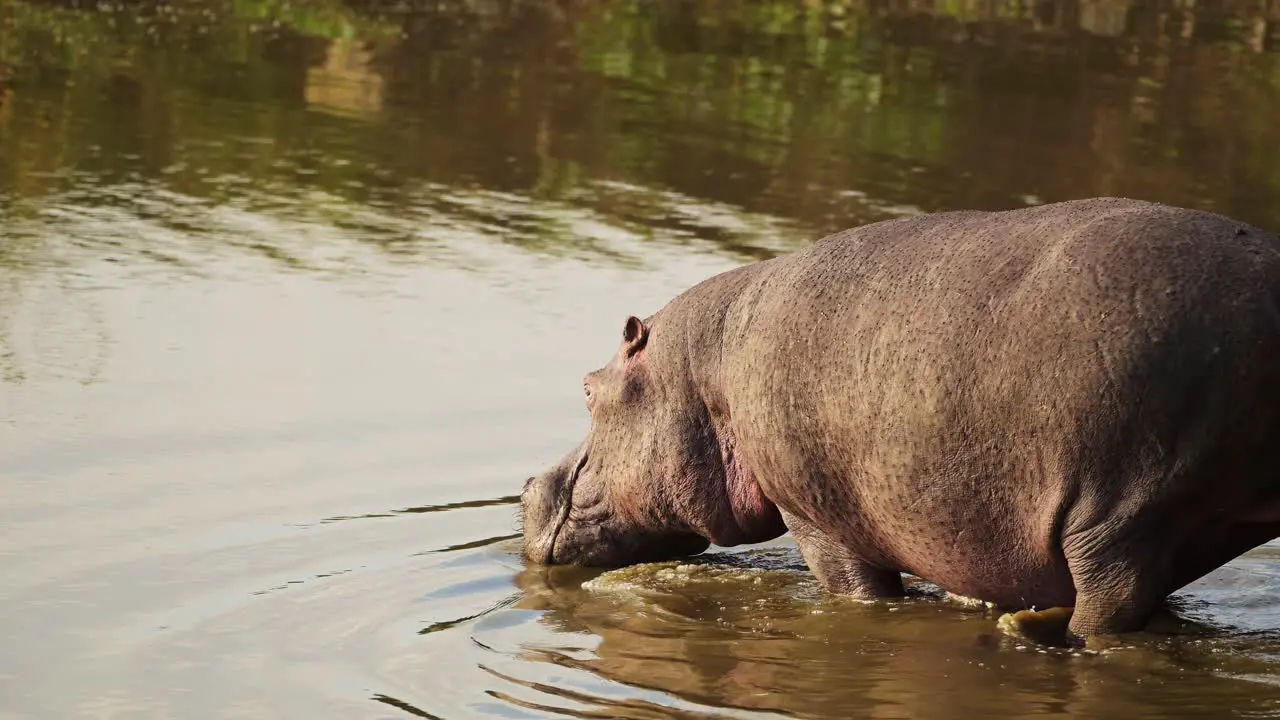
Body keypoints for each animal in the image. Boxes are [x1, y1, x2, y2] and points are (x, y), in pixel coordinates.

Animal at [517, 196, 1280, 638]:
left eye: (587, 389)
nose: (526, 487)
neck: (702, 371)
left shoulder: (817, 519)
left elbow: (858, 593)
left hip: (1122, 517)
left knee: (1108, 608)